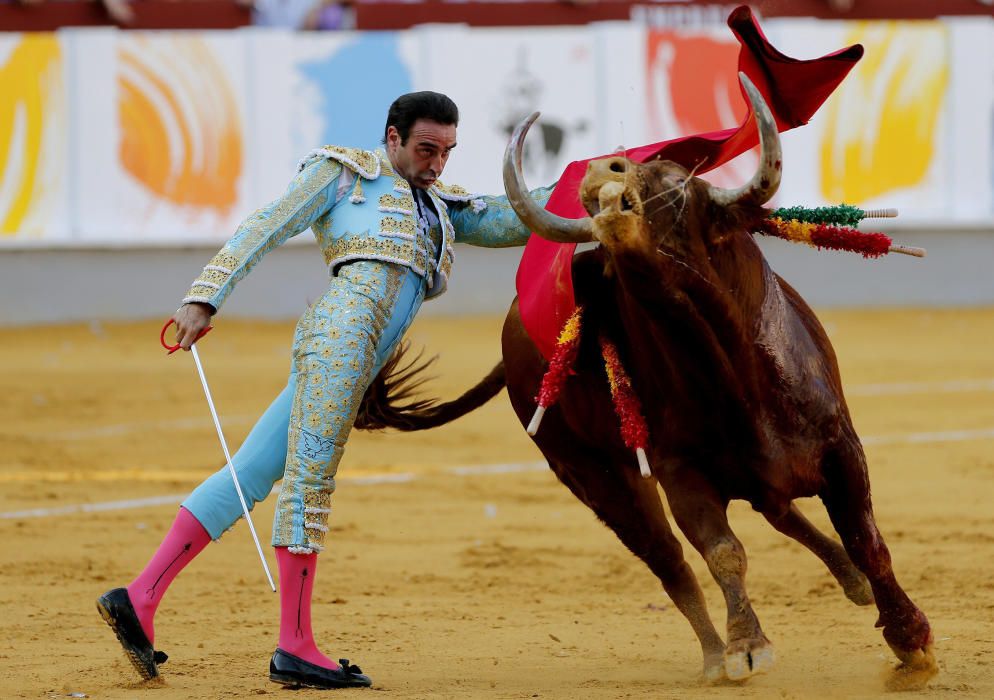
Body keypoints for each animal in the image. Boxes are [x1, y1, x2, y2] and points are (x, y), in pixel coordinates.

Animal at [354, 74, 928, 688]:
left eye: (675, 182)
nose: (602, 170)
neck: (729, 373)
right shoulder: (680, 475)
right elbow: (722, 552)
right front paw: (746, 647)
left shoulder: (842, 446)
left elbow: (866, 537)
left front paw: (911, 639)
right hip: (596, 478)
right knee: (670, 559)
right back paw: (712, 655)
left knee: (779, 513)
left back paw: (853, 586)